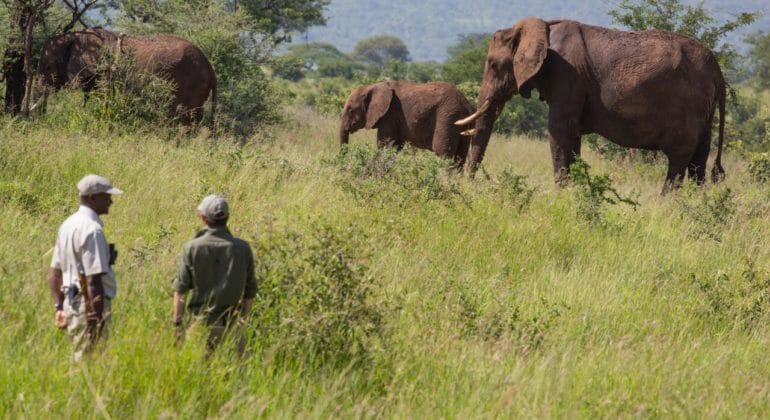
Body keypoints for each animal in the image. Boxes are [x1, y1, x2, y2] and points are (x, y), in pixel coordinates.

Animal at [456, 17, 728, 191]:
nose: (470, 184)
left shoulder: (566, 75)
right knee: (698, 160)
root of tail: (717, 70)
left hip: (689, 106)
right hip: (704, 110)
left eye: (492, 64)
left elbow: (559, 131)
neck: (542, 26)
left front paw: (561, 194)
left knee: (679, 158)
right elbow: (572, 137)